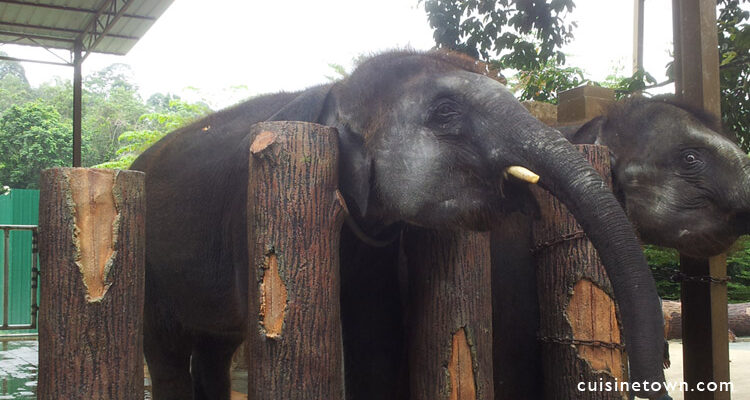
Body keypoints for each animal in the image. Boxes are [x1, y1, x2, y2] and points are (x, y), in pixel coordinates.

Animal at [132, 50, 668, 400]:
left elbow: (374, 331)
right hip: (151, 269)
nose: (655, 378)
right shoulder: (253, 212)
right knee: (166, 350)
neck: (334, 93)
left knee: (215, 348)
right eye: (446, 112)